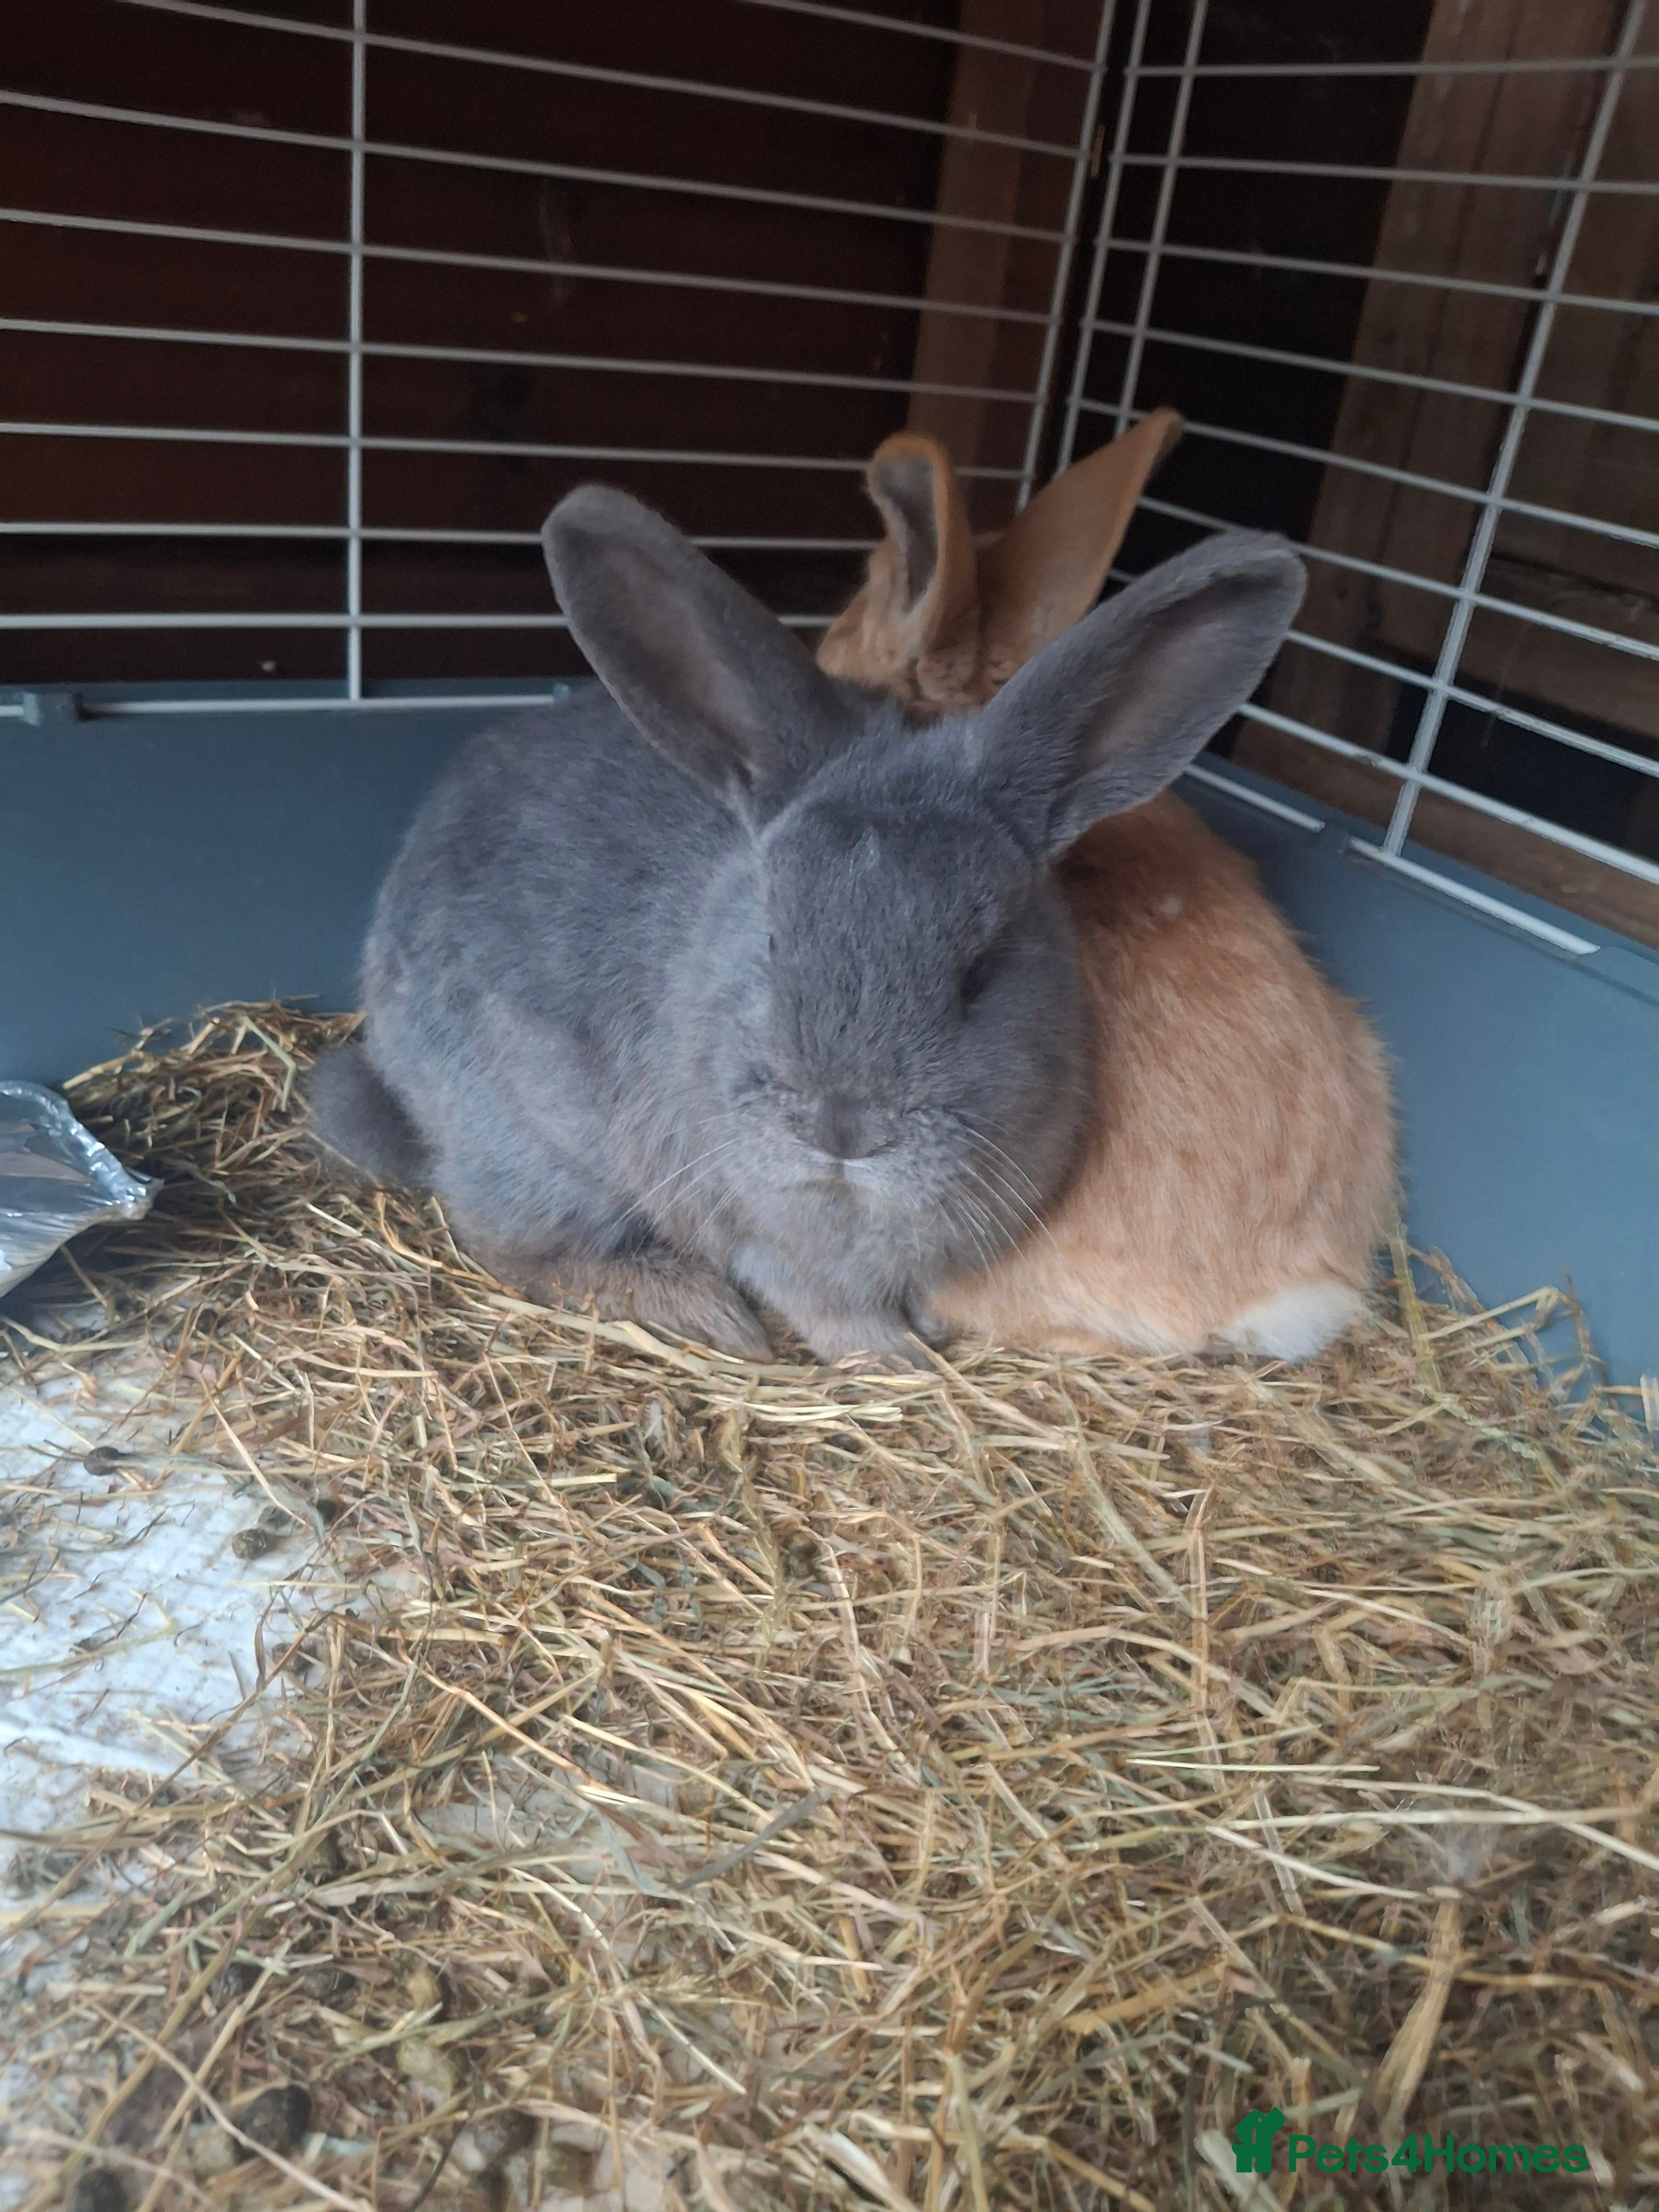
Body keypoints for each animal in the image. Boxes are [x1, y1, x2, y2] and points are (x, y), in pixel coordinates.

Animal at [309, 480, 1310, 1366]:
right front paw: (895, 1360)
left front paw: (927, 1331)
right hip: (530, 1145)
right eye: (773, 942)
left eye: (979, 971)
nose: (844, 1129)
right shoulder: (761, 1237)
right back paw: (697, 1306)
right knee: (505, 1239)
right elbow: (820, 1304)